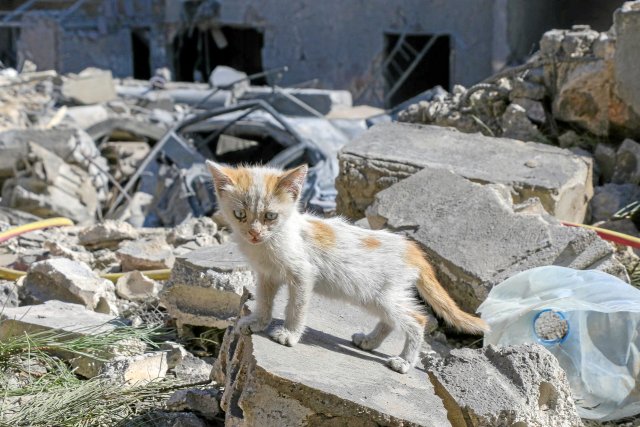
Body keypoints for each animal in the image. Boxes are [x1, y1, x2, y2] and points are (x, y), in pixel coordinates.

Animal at [208, 160, 488, 374]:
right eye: (240, 215)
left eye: (270, 216)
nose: (254, 234)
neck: (270, 243)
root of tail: (413, 249)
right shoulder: (267, 275)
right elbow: (265, 301)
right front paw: (258, 322)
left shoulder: (303, 274)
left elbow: (295, 307)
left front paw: (289, 334)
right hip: (374, 296)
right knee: (390, 321)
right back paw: (369, 341)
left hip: (384, 295)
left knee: (418, 320)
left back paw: (404, 362)